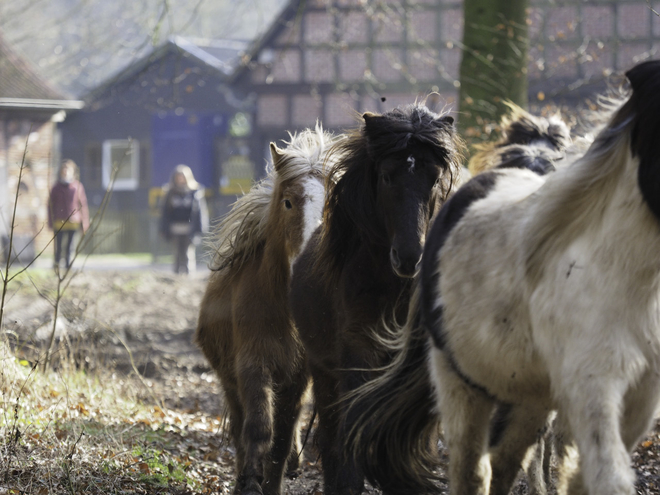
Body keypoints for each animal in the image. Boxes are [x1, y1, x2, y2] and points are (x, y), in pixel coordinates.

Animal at [195, 126, 340, 494]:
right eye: (288, 201)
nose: (309, 266)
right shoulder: (253, 365)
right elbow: (259, 429)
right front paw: (249, 481)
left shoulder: (298, 377)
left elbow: (282, 440)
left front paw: (272, 481)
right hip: (229, 380)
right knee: (239, 426)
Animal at [288, 104, 464, 495]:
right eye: (386, 177)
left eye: (434, 178)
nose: (410, 257)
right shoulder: (356, 357)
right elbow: (350, 442)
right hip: (324, 372)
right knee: (332, 439)